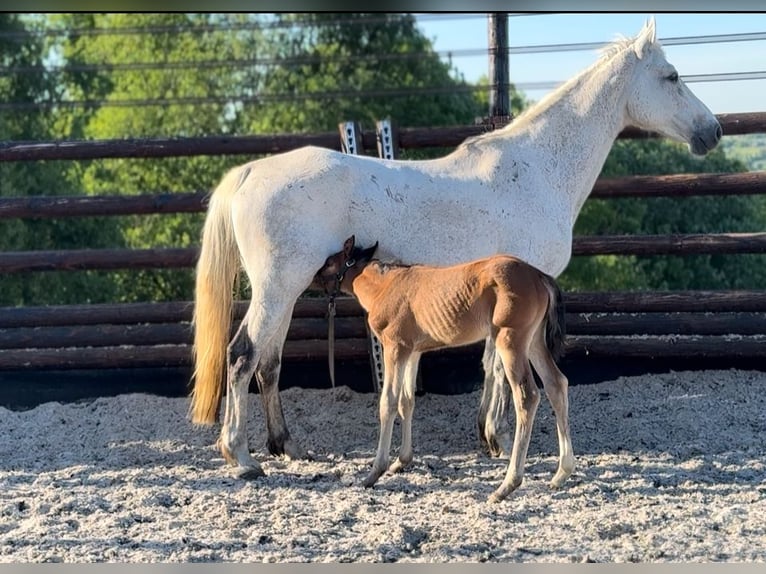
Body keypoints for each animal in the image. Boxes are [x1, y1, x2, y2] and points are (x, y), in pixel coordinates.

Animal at [315, 235, 572, 502]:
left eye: (329, 262)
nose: (314, 277)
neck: (385, 286)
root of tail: (539, 276)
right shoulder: (413, 351)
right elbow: (406, 401)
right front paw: (402, 461)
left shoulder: (394, 347)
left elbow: (388, 402)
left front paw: (374, 472)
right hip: (534, 341)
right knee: (556, 384)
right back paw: (561, 473)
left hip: (510, 340)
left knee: (527, 395)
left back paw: (507, 485)